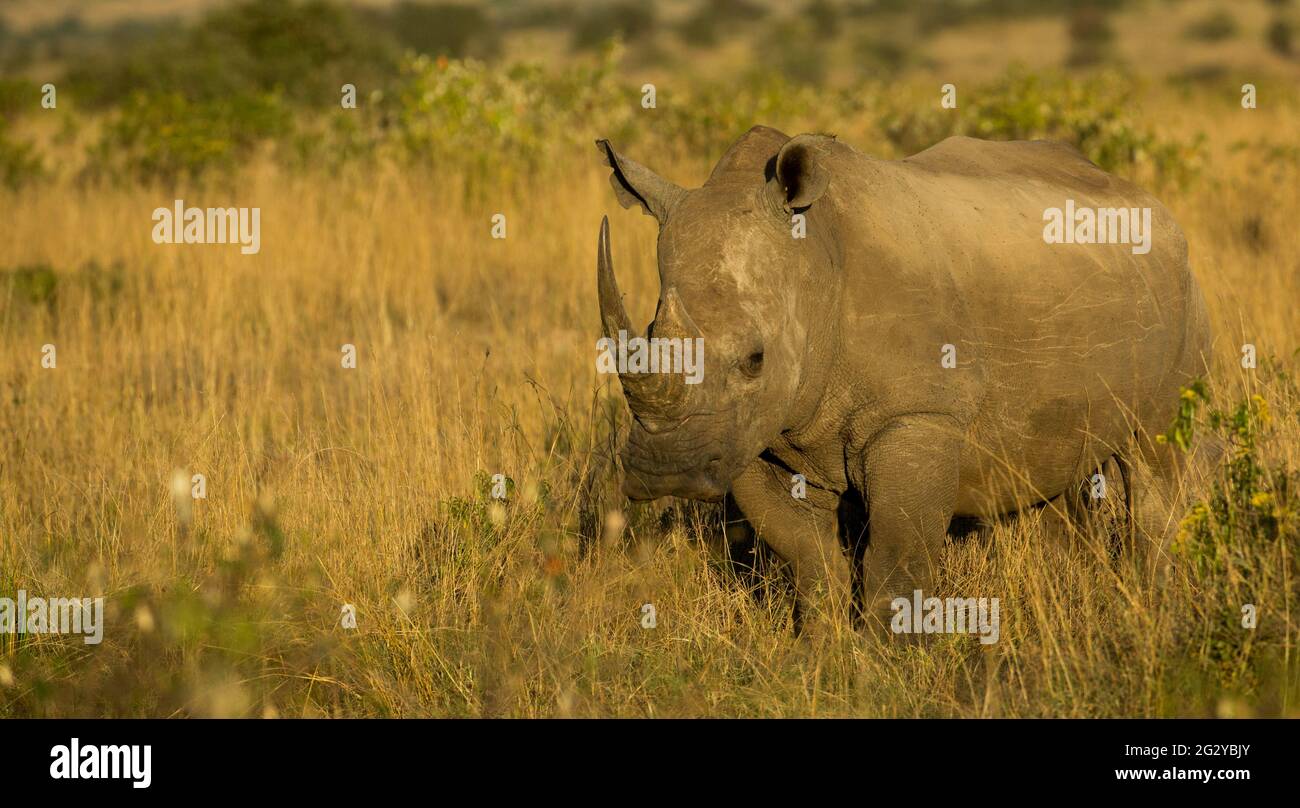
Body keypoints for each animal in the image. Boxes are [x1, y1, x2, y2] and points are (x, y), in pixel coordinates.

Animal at [595, 126, 1211, 631]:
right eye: (643, 341)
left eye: (755, 359)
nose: (665, 471)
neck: (813, 265)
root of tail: (1158, 208)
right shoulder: (759, 435)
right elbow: (810, 560)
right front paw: (819, 659)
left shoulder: (915, 415)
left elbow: (896, 562)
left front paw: (884, 673)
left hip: (1182, 292)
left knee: (1154, 459)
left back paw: (1156, 612)